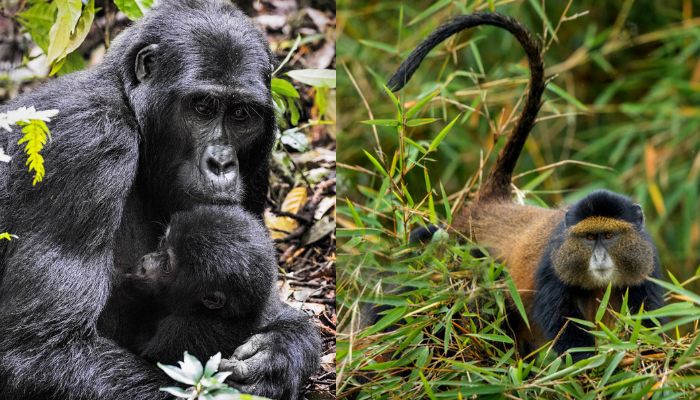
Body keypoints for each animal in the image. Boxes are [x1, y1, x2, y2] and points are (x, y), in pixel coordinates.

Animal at [387, 12, 664, 359]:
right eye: (589, 238)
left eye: (610, 236)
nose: (600, 257)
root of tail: (492, 202)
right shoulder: (551, 268)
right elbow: (563, 324)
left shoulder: (647, 265)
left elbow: (648, 318)